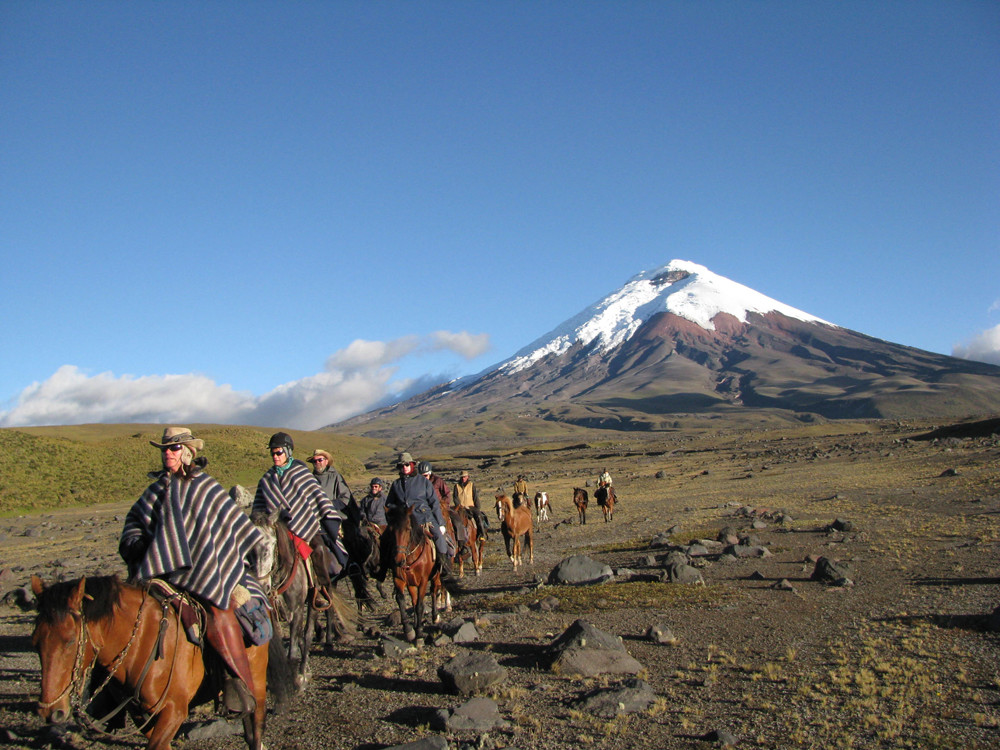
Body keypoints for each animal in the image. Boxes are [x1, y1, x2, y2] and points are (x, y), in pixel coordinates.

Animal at [31, 576, 288, 750]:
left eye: (70, 640)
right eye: (36, 642)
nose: (50, 712)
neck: (140, 643)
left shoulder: (174, 709)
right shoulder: (139, 713)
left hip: (255, 679)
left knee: (255, 726)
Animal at [384, 502, 444, 644]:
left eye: (408, 528)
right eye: (390, 530)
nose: (398, 560)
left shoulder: (423, 581)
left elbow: (420, 606)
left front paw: (420, 634)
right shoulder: (399, 579)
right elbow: (401, 600)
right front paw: (409, 630)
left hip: (435, 576)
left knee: (433, 592)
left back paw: (434, 616)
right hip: (411, 583)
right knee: (414, 600)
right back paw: (417, 623)